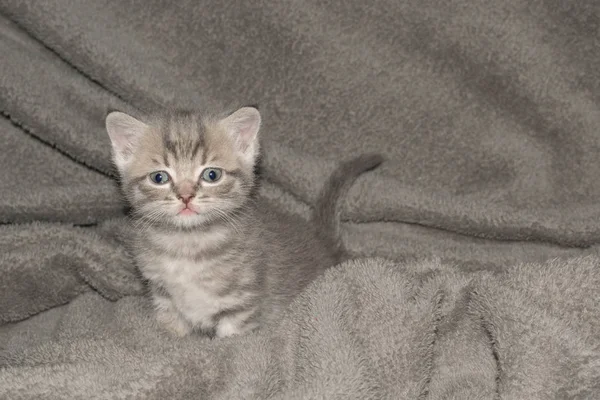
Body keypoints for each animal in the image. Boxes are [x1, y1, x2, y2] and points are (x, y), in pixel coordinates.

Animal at [105, 105, 382, 338]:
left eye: (211, 175)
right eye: (159, 177)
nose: (185, 196)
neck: (188, 243)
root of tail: (322, 240)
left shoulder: (241, 302)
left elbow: (232, 340)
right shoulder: (163, 295)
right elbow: (172, 328)